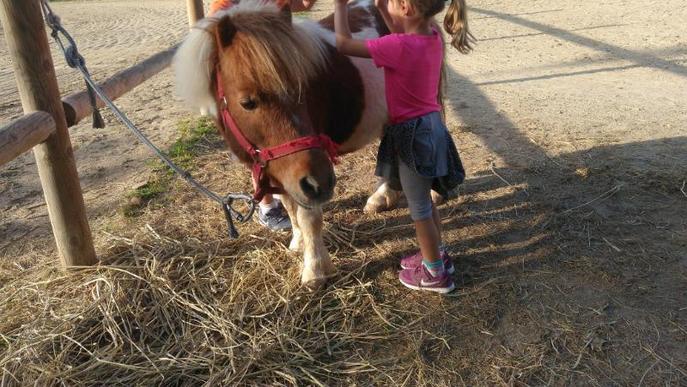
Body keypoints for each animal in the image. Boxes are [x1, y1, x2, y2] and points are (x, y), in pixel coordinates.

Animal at [172, 0, 430, 288]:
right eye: (247, 102)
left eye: (305, 89)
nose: (322, 183)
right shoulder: (279, 167)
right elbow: (289, 206)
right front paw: (297, 243)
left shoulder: (306, 174)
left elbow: (309, 216)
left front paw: (316, 270)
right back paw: (382, 197)